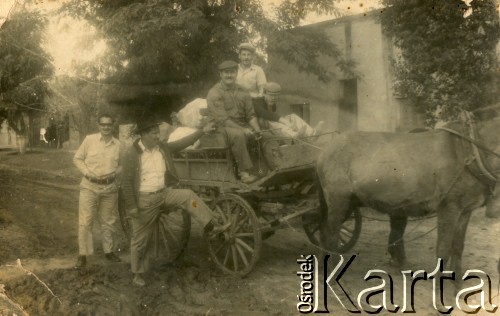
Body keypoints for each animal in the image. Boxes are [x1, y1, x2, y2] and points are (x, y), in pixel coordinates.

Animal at [316, 116, 500, 282]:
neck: (469, 152)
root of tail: (325, 150)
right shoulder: (449, 208)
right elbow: (443, 250)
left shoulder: (465, 210)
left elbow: (457, 248)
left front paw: (458, 286)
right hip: (339, 200)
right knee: (331, 234)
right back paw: (332, 274)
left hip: (348, 202)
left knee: (324, 230)